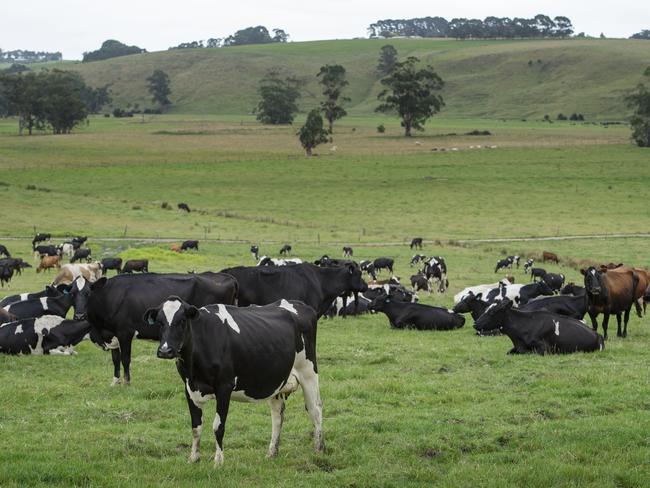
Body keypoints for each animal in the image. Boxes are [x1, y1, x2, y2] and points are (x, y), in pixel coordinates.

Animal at [79, 270, 235, 386]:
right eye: (74, 293)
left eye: (89, 293)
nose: (79, 315)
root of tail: (228, 277)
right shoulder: (112, 335)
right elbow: (115, 359)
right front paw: (115, 381)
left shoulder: (125, 333)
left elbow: (125, 359)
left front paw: (127, 382)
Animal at [148, 298, 322, 466]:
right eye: (159, 322)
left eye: (182, 321)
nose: (165, 351)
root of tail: (299, 303)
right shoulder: (189, 388)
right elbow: (196, 427)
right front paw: (194, 458)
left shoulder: (224, 387)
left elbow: (218, 426)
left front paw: (218, 462)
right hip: (278, 380)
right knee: (277, 414)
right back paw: (272, 453)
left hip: (308, 371)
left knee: (315, 408)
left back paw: (318, 449)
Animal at [470, 298, 604, 354]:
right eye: (486, 309)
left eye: (492, 312)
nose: (475, 324)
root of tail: (598, 334)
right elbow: (510, 352)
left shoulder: (544, 349)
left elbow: (529, 352)